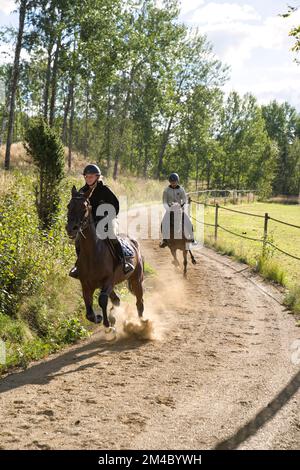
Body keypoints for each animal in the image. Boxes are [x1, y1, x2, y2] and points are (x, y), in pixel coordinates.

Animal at [65, 185, 145, 340]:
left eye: (84, 207)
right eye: (68, 206)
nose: (71, 228)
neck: (93, 253)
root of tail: (133, 242)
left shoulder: (108, 281)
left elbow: (102, 300)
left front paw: (108, 325)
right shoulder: (86, 285)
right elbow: (89, 311)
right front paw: (100, 319)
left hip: (136, 279)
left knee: (139, 302)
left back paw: (141, 324)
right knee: (117, 300)